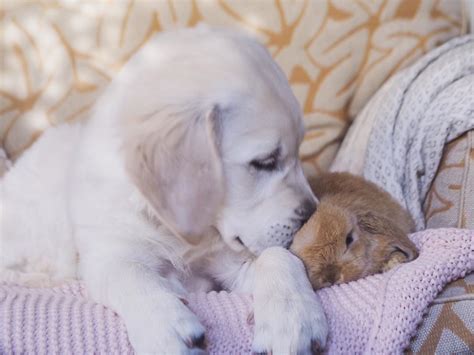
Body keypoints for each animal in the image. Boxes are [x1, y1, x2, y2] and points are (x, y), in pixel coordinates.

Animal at [0, 26, 328, 354]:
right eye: (265, 162)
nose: (312, 213)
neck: (180, 231)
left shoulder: (226, 262)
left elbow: (279, 257)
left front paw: (294, 317)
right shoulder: (107, 254)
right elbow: (130, 275)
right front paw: (166, 327)